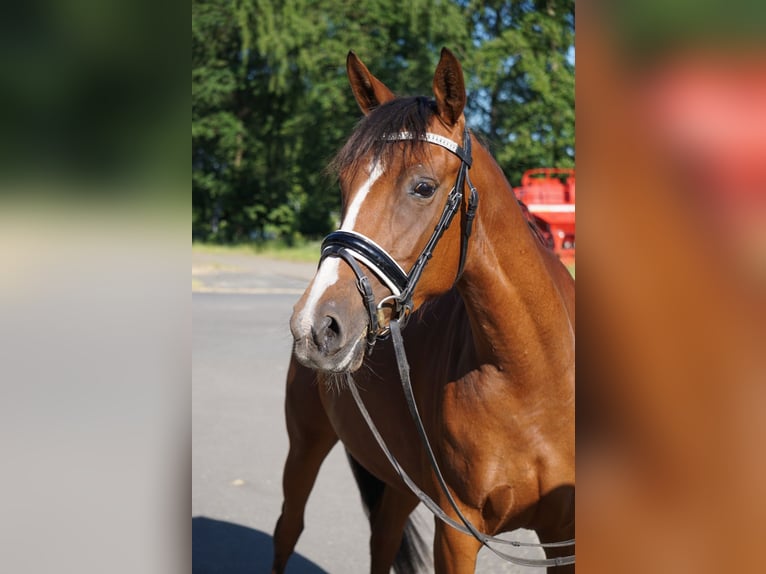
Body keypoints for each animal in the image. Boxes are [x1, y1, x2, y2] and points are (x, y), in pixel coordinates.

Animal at [270, 50, 576, 574]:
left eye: (423, 187)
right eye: (345, 185)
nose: (315, 326)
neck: (534, 376)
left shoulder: (563, 536)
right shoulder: (456, 535)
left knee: (383, 538)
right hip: (305, 443)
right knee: (288, 529)